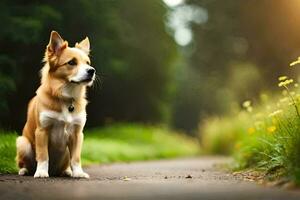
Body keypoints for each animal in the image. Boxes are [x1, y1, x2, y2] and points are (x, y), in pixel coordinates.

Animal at [15, 30, 95, 177]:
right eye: (72, 62)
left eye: (87, 63)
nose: (92, 70)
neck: (66, 97)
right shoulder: (42, 131)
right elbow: (43, 155)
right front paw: (41, 172)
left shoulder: (77, 134)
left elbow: (76, 158)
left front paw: (78, 173)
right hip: (23, 143)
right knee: (24, 163)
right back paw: (24, 170)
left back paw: (67, 171)